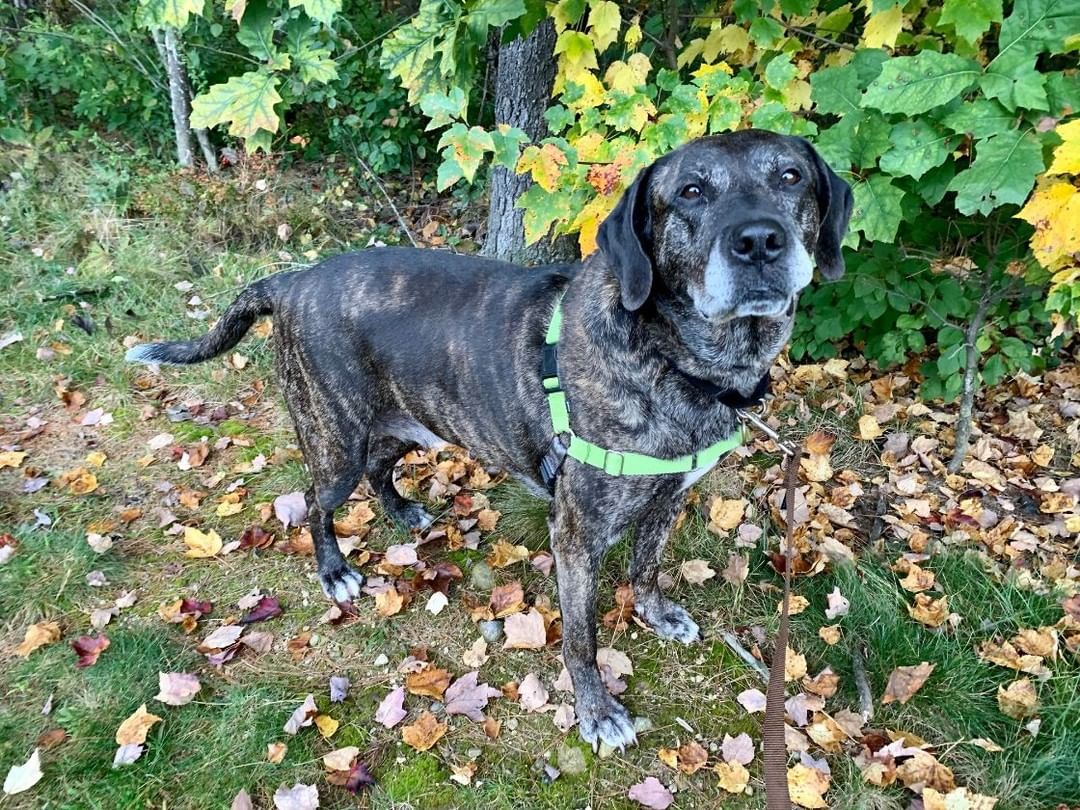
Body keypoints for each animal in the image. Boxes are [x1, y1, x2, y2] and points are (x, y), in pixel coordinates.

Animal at [126, 130, 851, 751]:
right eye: (692, 192)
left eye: (790, 177)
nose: (759, 240)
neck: (677, 361)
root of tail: (293, 278)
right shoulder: (576, 537)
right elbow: (581, 639)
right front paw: (598, 712)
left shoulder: (669, 497)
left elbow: (646, 565)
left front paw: (657, 612)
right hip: (335, 439)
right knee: (314, 499)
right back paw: (334, 571)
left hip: (406, 423)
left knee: (380, 470)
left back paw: (404, 512)